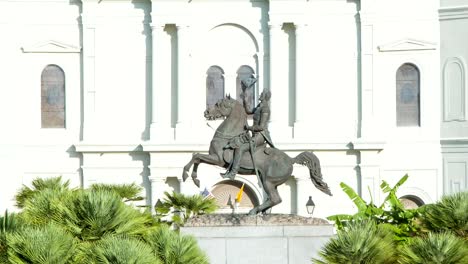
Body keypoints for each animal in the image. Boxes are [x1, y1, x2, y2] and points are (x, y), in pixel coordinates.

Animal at [181, 96, 330, 213]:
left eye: (218, 104)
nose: (206, 112)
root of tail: (291, 159)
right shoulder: (215, 160)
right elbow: (197, 158)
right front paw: (195, 179)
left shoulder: (217, 160)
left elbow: (196, 156)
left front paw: (186, 175)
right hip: (272, 183)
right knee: (274, 199)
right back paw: (262, 212)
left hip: (268, 181)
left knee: (275, 199)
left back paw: (254, 211)